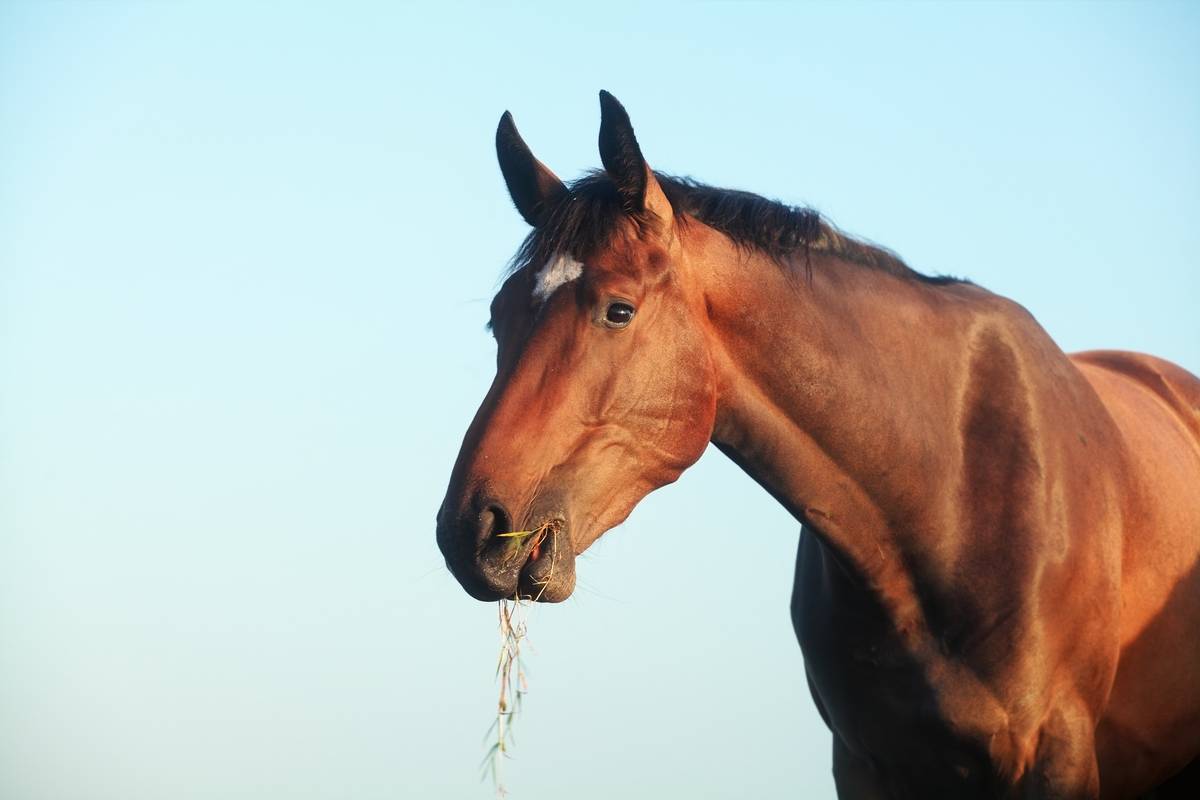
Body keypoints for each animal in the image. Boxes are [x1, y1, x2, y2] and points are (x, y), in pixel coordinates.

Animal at [435, 91, 1200, 798]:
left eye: (617, 310)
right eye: (499, 317)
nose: (472, 531)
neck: (950, 495)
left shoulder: (1055, 757)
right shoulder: (863, 766)